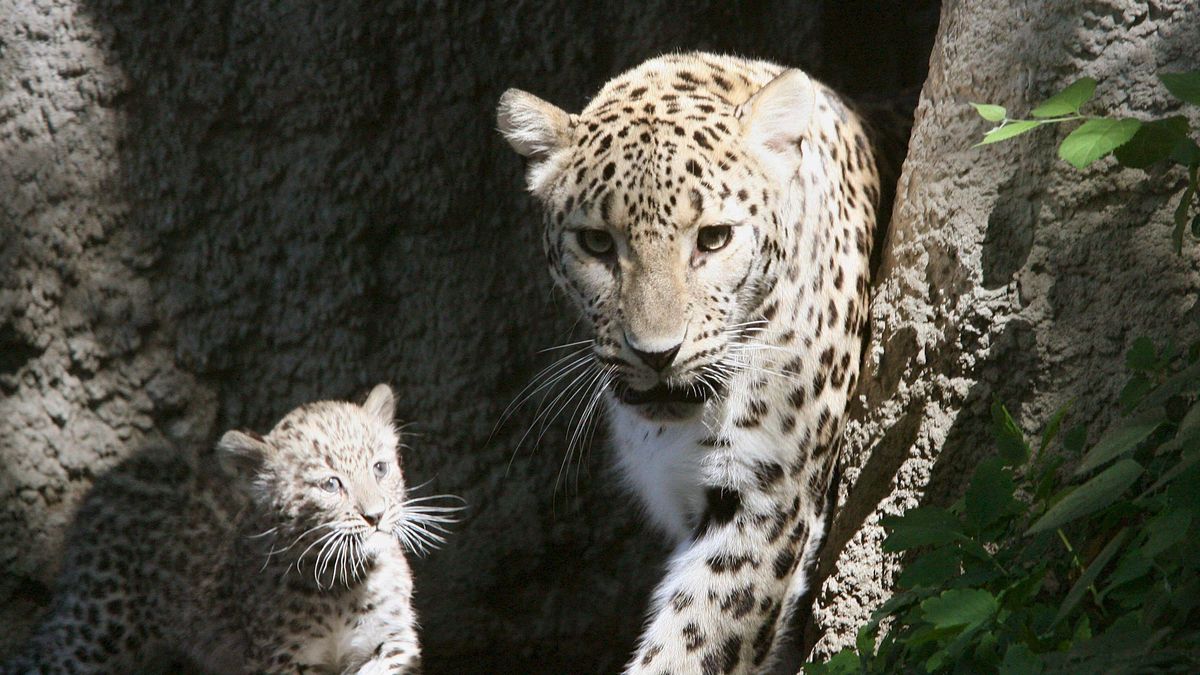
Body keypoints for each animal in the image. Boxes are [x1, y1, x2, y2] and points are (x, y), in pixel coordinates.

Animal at [4, 384, 459, 674]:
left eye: (380, 468)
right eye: (331, 485)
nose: (376, 516)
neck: (341, 583)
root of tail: (116, 472)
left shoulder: (391, 643)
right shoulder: (284, 658)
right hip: (96, 626)